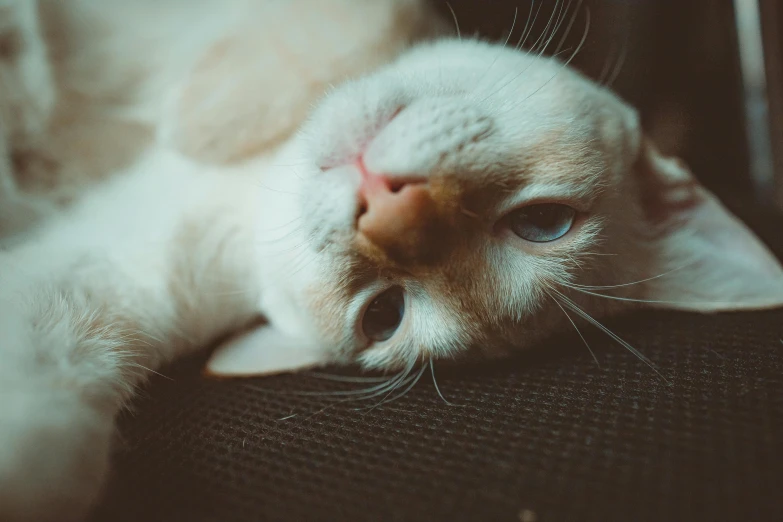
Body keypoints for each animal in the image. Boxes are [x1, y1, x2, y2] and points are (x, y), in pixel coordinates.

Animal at [1, 1, 783, 520]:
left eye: (385, 313)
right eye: (543, 223)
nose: (385, 208)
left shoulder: (108, 277)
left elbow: (50, 428)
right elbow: (375, 13)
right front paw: (210, 107)